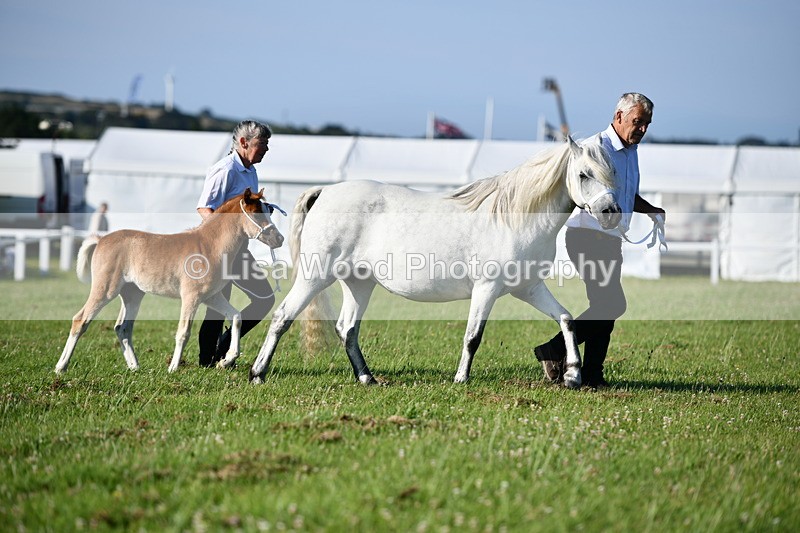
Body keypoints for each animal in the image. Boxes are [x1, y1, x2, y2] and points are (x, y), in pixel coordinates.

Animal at [55, 188, 284, 375]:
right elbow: (183, 332)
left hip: (132, 294)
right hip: (106, 289)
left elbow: (236, 317)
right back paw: (61, 367)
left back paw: (135, 367)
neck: (210, 246)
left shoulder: (211, 297)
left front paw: (226, 360)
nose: (279, 239)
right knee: (80, 320)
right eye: (257, 212)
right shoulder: (191, 297)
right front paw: (173, 368)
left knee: (122, 328)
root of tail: (101, 240)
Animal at [250, 137, 621, 389]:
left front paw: (573, 375)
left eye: (611, 172)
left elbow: (567, 319)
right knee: (283, 317)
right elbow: (473, 336)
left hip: (359, 283)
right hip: (315, 277)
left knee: (347, 329)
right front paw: (461, 379)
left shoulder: (528, 288)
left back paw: (367, 378)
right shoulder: (487, 289)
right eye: (584, 174)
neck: (512, 217)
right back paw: (257, 373)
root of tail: (325, 192)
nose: (611, 213)